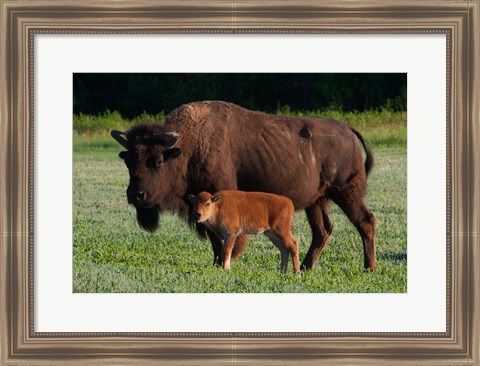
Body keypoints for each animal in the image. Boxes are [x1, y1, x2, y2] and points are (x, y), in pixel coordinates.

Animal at [110, 100, 376, 268]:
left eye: (156, 161)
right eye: (128, 161)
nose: (136, 195)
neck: (187, 149)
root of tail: (348, 131)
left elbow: (224, 240)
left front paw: (225, 263)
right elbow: (214, 239)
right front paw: (217, 264)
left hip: (346, 193)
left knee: (365, 221)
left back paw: (369, 267)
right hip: (317, 201)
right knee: (322, 231)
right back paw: (307, 267)